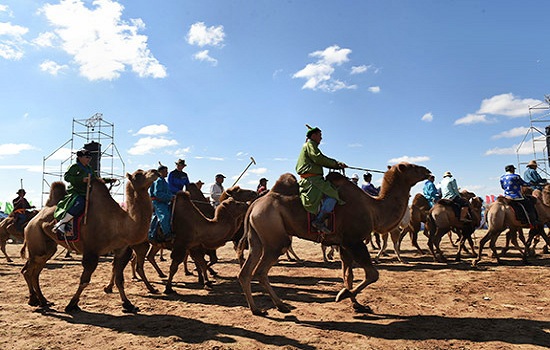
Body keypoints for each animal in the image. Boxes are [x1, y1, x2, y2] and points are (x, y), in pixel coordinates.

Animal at [21, 168, 160, 314]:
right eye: (138, 174)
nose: (155, 171)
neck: (119, 224)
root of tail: (32, 220)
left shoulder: (121, 250)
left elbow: (119, 279)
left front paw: (128, 304)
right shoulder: (91, 251)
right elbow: (84, 280)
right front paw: (71, 304)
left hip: (48, 247)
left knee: (35, 272)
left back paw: (43, 300)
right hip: (35, 240)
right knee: (28, 271)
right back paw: (34, 300)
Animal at [237, 163, 432, 316]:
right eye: (412, 167)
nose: (429, 171)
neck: (373, 208)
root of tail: (254, 205)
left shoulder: (344, 244)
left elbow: (348, 275)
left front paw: (357, 305)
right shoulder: (354, 241)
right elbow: (372, 274)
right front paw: (342, 295)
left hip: (258, 239)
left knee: (246, 272)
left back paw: (258, 309)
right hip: (274, 239)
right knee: (261, 271)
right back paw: (281, 305)